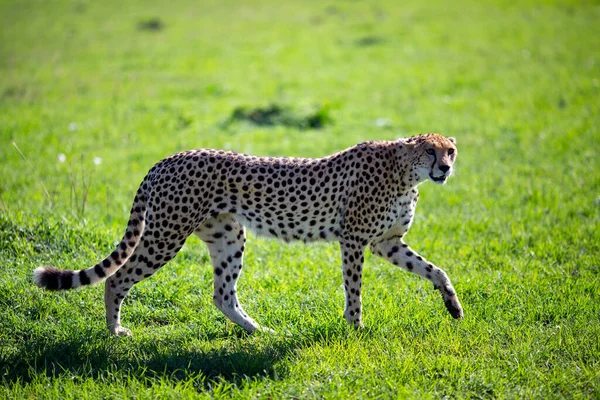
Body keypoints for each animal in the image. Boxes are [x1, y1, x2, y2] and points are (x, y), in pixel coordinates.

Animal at [32, 134, 464, 334]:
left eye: (450, 151)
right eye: (430, 151)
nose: (444, 168)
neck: (405, 172)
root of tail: (170, 157)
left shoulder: (386, 243)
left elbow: (435, 270)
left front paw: (454, 307)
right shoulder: (356, 240)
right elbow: (354, 290)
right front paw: (355, 328)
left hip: (228, 236)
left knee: (222, 294)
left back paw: (260, 330)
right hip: (165, 235)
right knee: (117, 278)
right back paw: (115, 330)